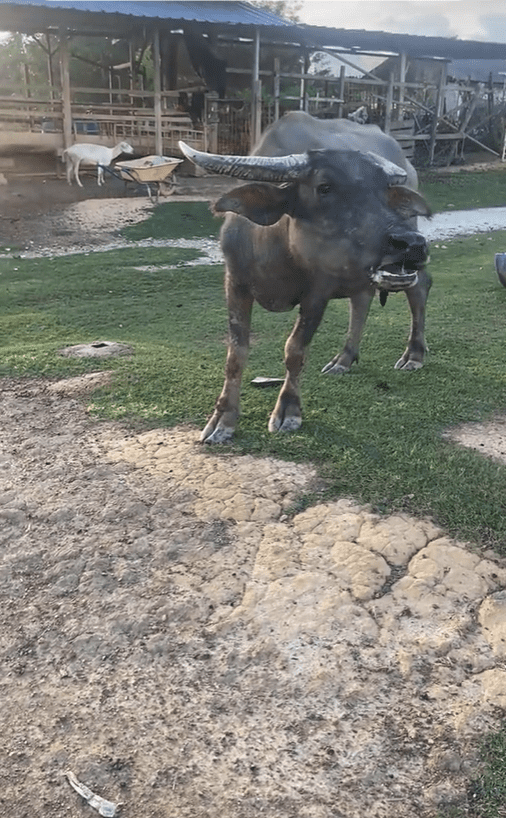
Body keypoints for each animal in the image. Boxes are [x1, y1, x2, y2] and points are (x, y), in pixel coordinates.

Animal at [179, 111, 431, 444]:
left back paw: (413, 354)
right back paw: (344, 359)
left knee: (418, 290)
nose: (411, 244)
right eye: (324, 187)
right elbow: (236, 353)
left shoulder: (318, 291)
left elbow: (295, 350)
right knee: (362, 300)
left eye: (385, 191)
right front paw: (223, 418)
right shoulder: (235, 283)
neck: (275, 250)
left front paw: (288, 410)